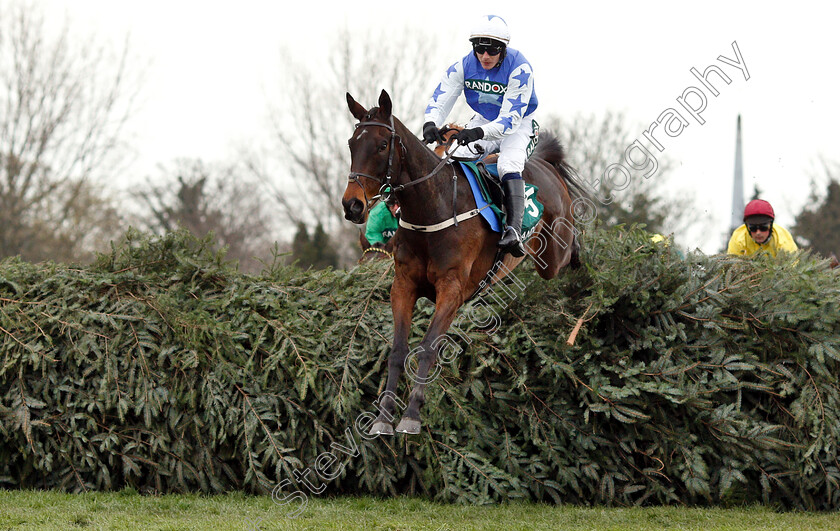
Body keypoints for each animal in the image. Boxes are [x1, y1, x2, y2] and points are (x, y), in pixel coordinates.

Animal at [342, 89, 592, 434]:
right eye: (352, 144)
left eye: (381, 145)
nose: (351, 205)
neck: (433, 207)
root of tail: (543, 162)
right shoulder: (403, 285)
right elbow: (398, 349)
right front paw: (383, 417)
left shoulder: (452, 289)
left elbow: (428, 346)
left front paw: (411, 414)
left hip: (550, 255)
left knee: (565, 252)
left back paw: (580, 254)